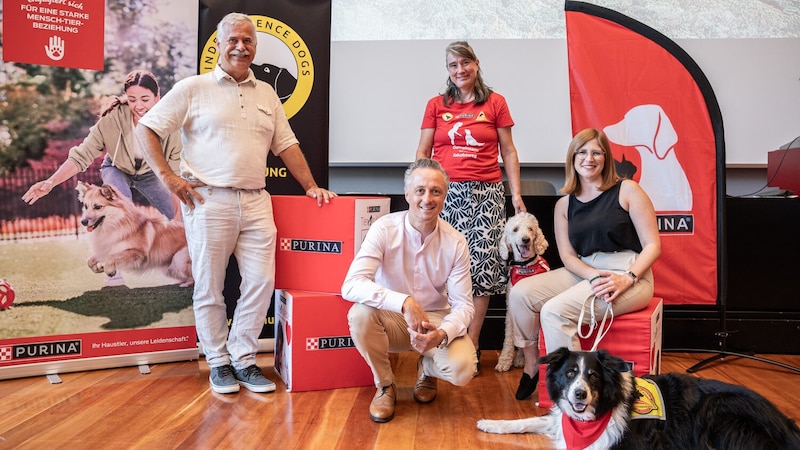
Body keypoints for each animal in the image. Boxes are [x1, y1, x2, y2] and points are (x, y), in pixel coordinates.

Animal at [494, 213, 552, 370]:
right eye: (515, 229)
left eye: (530, 229)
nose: (525, 239)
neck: (526, 267)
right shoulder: (511, 311)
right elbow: (509, 338)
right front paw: (504, 360)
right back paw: (520, 358)